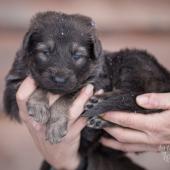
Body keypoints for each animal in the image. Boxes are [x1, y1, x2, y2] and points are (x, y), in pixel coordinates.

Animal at [3, 11, 170, 169]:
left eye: (77, 55)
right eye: (45, 52)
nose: (59, 80)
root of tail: (165, 78)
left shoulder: (96, 83)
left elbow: (67, 95)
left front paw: (55, 126)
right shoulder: (13, 88)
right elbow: (40, 85)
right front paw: (39, 106)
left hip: (134, 63)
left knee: (136, 99)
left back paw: (101, 104)